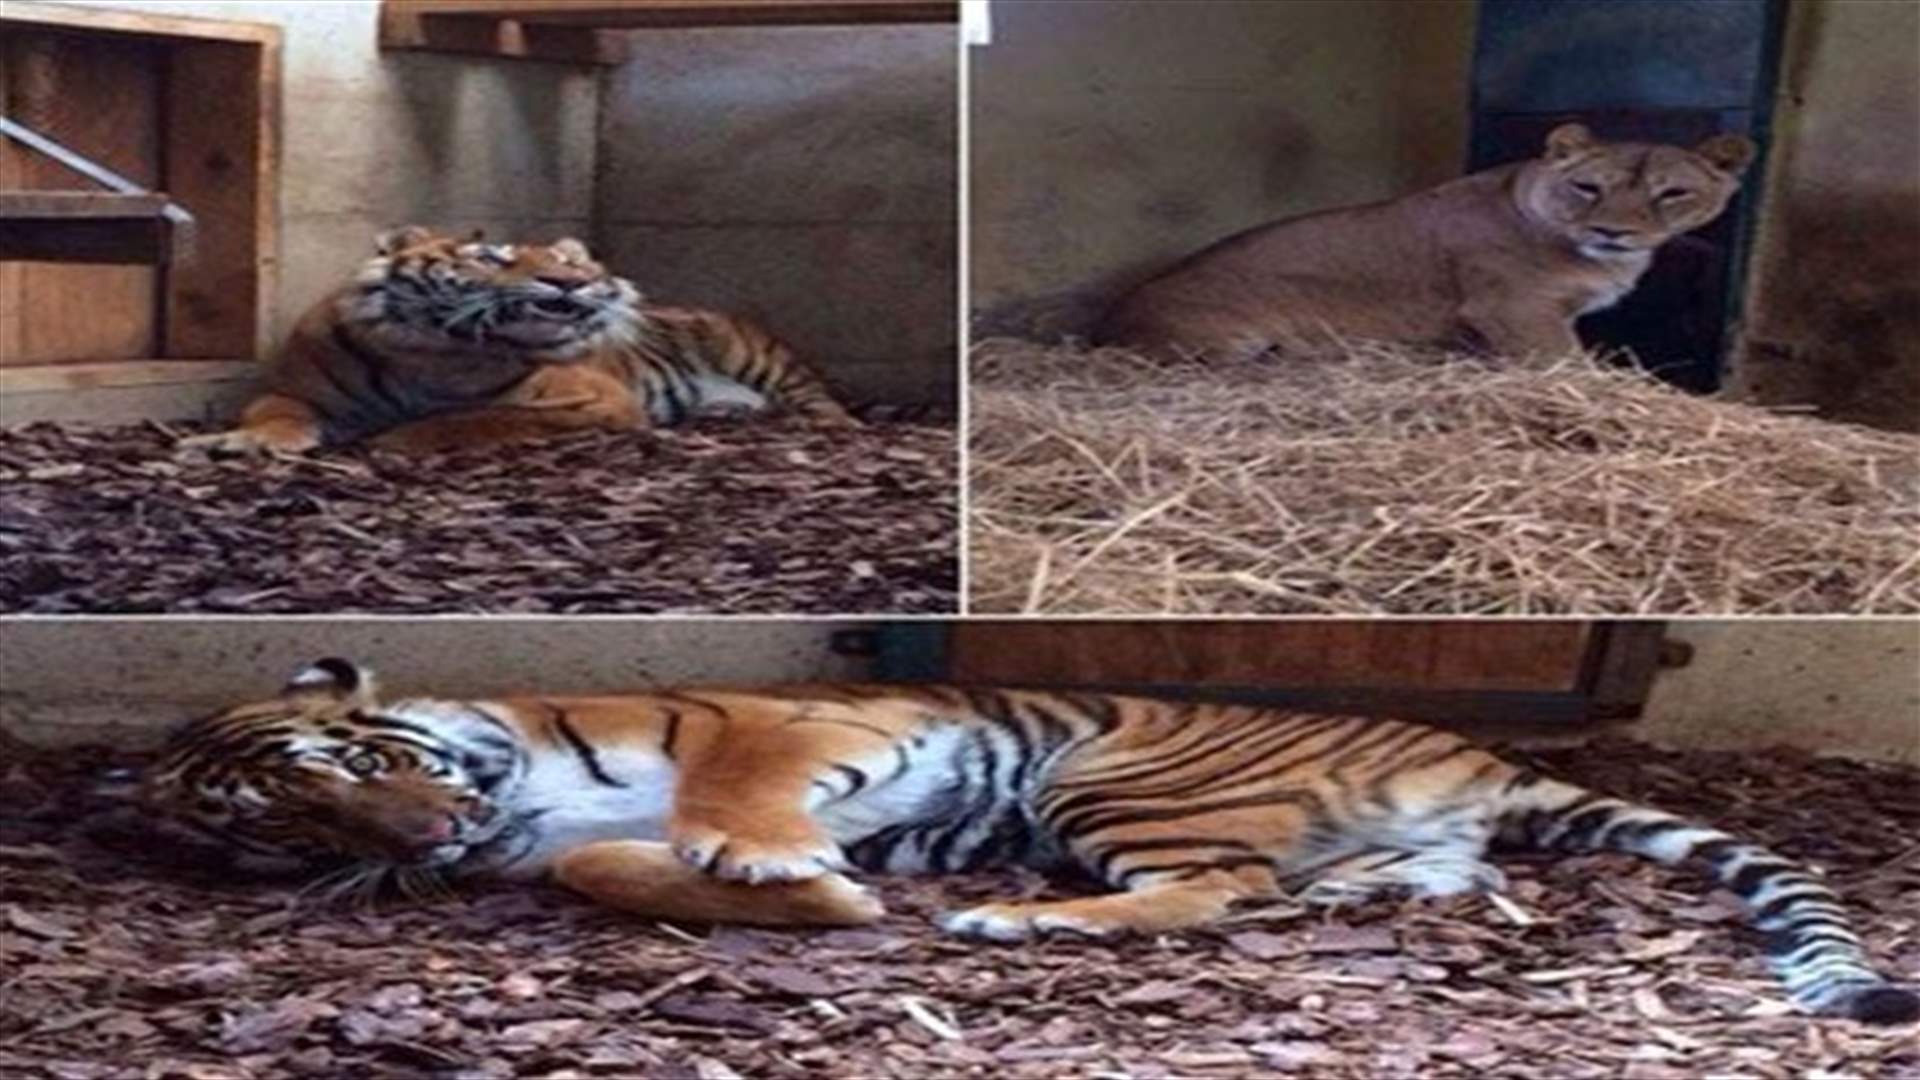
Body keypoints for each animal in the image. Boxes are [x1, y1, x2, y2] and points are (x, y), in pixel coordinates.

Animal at [180, 227, 855, 455]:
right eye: (489, 257)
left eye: (569, 259)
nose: (572, 280)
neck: (435, 353)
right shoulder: (299, 390)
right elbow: (275, 414)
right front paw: (245, 443)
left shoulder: (596, 401)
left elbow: (481, 418)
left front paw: (399, 439)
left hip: (754, 353)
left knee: (820, 401)